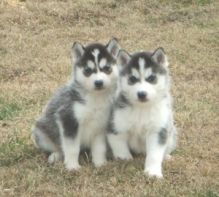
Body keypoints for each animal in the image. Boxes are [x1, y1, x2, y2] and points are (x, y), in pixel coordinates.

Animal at [31, 38, 120, 171]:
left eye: (107, 68)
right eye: (88, 71)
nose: (98, 82)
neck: (95, 98)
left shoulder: (100, 126)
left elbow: (99, 148)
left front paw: (100, 163)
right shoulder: (68, 120)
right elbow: (72, 148)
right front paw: (72, 167)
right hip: (41, 133)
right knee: (58, 147)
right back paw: (55, 156)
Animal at [107, 48, 177, 179]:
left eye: (151, 78)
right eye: (132, 79)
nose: (142, 94)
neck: (142, 108)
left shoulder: (158, 130)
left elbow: (155, 154)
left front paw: (153, 172)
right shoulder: (116, 127)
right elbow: (120, 147)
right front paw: (124, 160)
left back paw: (167, 156)